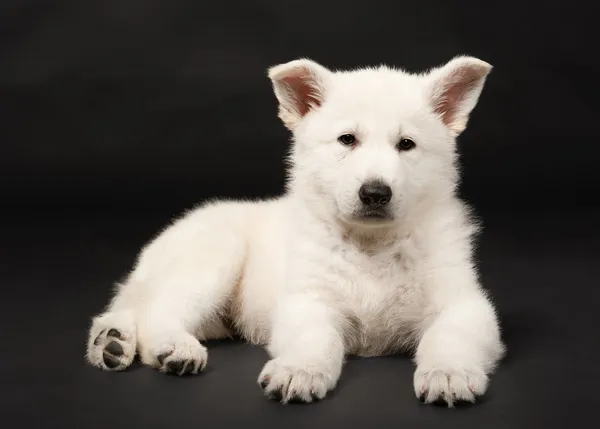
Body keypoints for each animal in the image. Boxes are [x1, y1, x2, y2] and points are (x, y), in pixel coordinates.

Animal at [85, 55, 506, 406]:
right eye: (347, 140)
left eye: (406, 144)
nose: (375, 193)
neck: (372, 245)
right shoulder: (307, 300)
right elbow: (316, 338)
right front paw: (299, 370)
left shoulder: (465, 304)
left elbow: (450, 334)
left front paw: (448, 371)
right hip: (216, 254)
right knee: (158, 310)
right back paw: (171, 347)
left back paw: (113, 342)